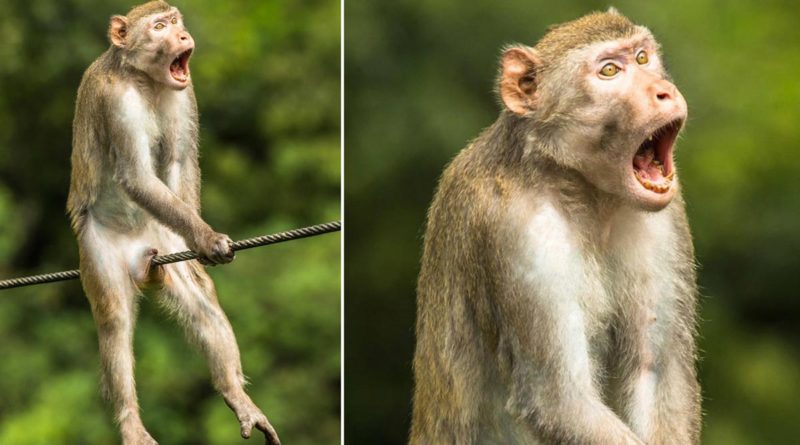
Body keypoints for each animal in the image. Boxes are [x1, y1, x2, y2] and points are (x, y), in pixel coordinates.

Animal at [67, 1, 282, 442]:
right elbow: (136, 176)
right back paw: (131, 422)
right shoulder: (115, 100)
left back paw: (236, 395)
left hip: (163, 241)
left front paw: (201, 239)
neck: (144, 80)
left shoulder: (186, 93)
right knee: (114, 317)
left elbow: (181, 161)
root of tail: (141, 256)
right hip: (98, 249)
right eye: (159, 26)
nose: (182, 36)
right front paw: (208, 237)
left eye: (176, 22)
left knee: (200, 301)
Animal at [412, 10, 700, 444]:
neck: (581, 190)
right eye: (610, 71)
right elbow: (559, 399)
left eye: (643, 58)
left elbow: (655, 371)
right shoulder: (518, 230)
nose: (663, 91)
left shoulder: (663, 220)